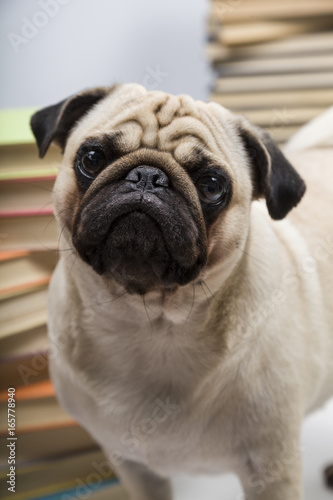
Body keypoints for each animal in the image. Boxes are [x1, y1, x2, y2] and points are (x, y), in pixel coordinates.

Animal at [30, 84, 332, 498]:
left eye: (212, 186)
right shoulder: (132, 466)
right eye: (91, 159)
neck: (149, 324)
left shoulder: (273, 470)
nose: (147, 176)